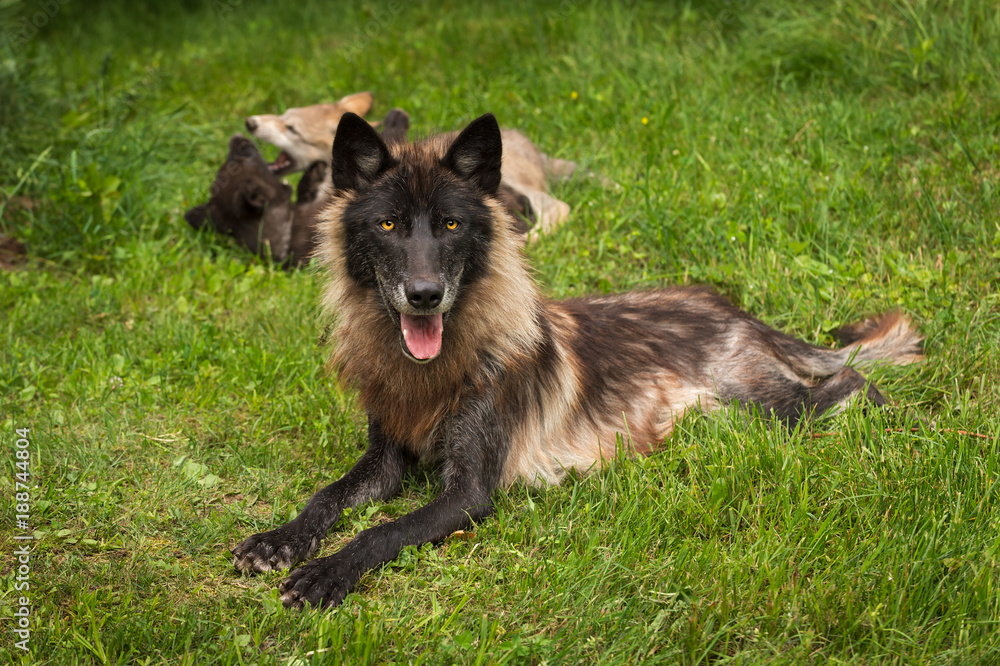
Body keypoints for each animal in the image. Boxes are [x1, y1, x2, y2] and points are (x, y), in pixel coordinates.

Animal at [231, 113, 922, 609]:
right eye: (389, 225)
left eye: (451, 225)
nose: (424, 295)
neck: (439, 366)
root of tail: (736, 311)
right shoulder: (384, 461)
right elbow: (327, 497)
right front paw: (279, 540)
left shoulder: (468, 494)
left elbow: (381, 531)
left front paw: (326, 572)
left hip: (760, 409)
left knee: (851, 380)